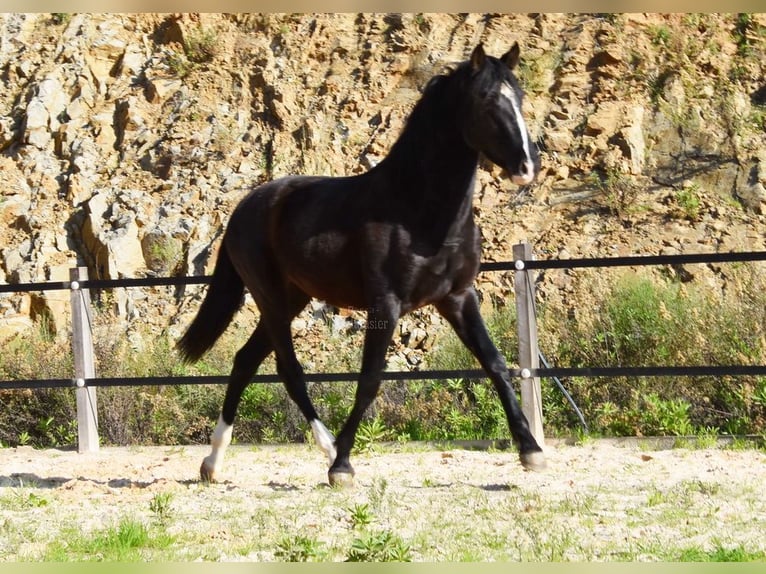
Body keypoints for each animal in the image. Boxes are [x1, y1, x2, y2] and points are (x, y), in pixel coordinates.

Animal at [180, 42, 548, 488]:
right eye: (486, 99)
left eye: (520, 96)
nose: (528, 167)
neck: (418, 211)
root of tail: (244, 207)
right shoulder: (384, 305)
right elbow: (369, 380)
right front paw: (342, 467)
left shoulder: (458, 298)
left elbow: (495, 365)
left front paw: (531, 451)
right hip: (269, 298)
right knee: (288, 369)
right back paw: (327, 449)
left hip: (293, 298)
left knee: (245, 362)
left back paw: (213, 464)